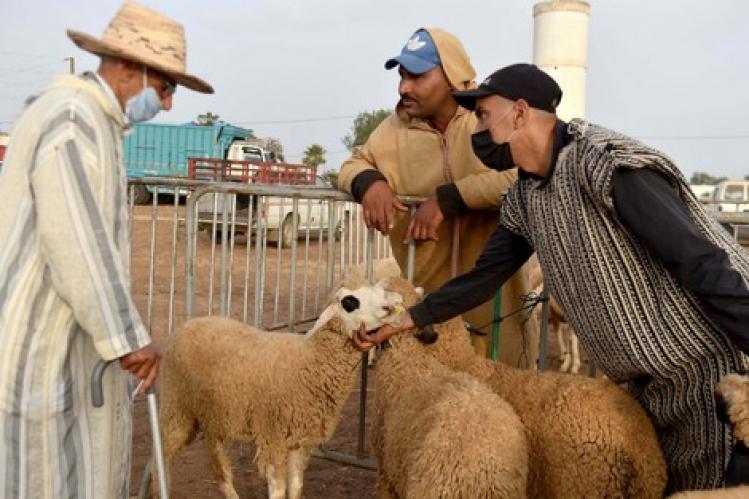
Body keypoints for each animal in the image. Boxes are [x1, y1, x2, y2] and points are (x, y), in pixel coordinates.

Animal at [155, 280, 406, 499]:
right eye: (349, 302)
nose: (391, 306)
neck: (309, 360)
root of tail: (189, 323)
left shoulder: (298, 439)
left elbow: (295, 487)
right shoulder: (273, 437)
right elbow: (278, 491)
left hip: (215, 413)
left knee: (218, 463)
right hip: (178, 406)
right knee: (162, 451)